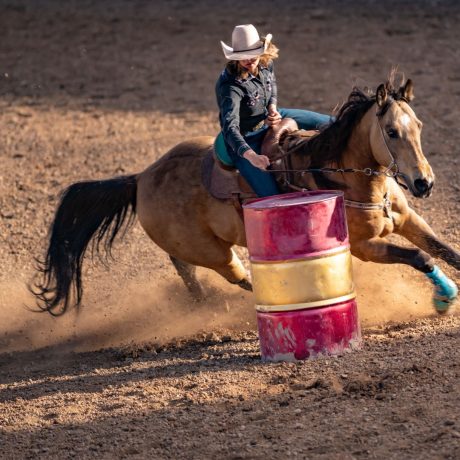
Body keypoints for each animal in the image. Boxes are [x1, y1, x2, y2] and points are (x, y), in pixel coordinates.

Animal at [30, 78, 458, 316]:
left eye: (419, 125)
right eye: (391, 132)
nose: (423, 183)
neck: (342, 174)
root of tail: (141, 178)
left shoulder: (408, 219)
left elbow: (443, 249)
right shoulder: (364, 247)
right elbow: (420, 257)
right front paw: (443, 299)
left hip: (195, 246)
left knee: (185, 268)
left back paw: (202, 302)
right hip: (215, 253)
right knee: (239, 276)